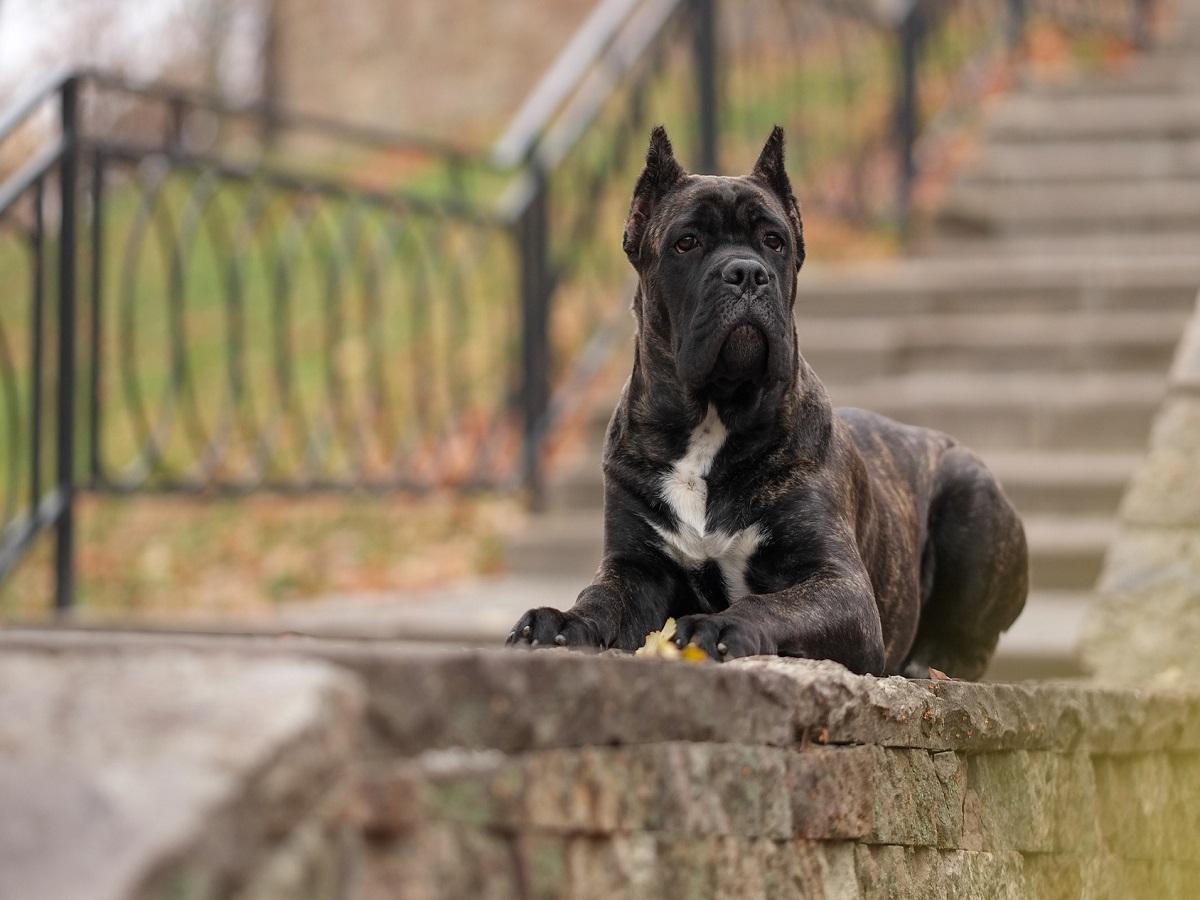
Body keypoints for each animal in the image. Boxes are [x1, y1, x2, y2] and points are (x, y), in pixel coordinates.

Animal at [501, 125, 1027, 676]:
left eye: (774, 241)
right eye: (686, 242)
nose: (746, 272)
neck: (712, 419)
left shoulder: (840, 584)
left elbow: (770, 603)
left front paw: (718, 627)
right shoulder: (635, 566)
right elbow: (602, 597)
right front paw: (559, 621)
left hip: (972, 497)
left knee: (969, 641)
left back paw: (929, 666)